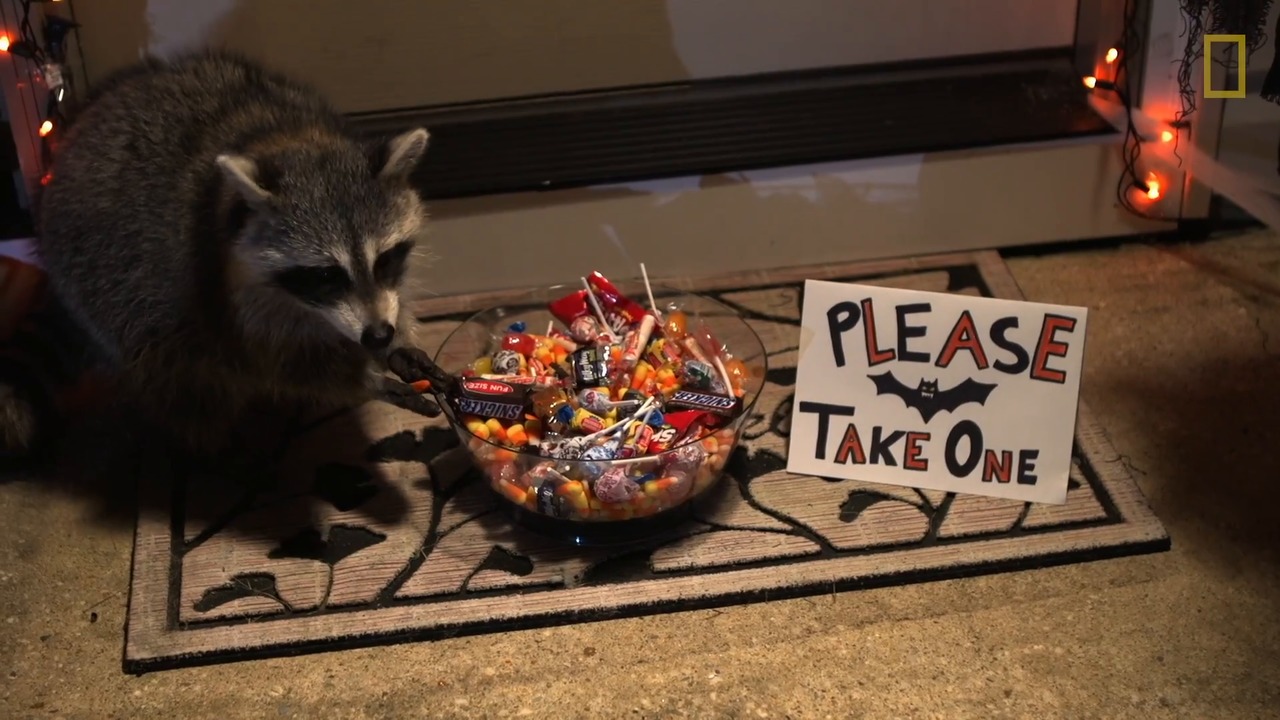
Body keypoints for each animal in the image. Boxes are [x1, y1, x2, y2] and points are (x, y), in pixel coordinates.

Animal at [7, 49, 440, 461]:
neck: (286, 134)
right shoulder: (211, 279)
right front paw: (363, 378)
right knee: (183, 378)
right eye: (326, 275)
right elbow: (274, 362)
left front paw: (394, 344)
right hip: (110, 292)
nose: (378, 335)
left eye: (385, 259)